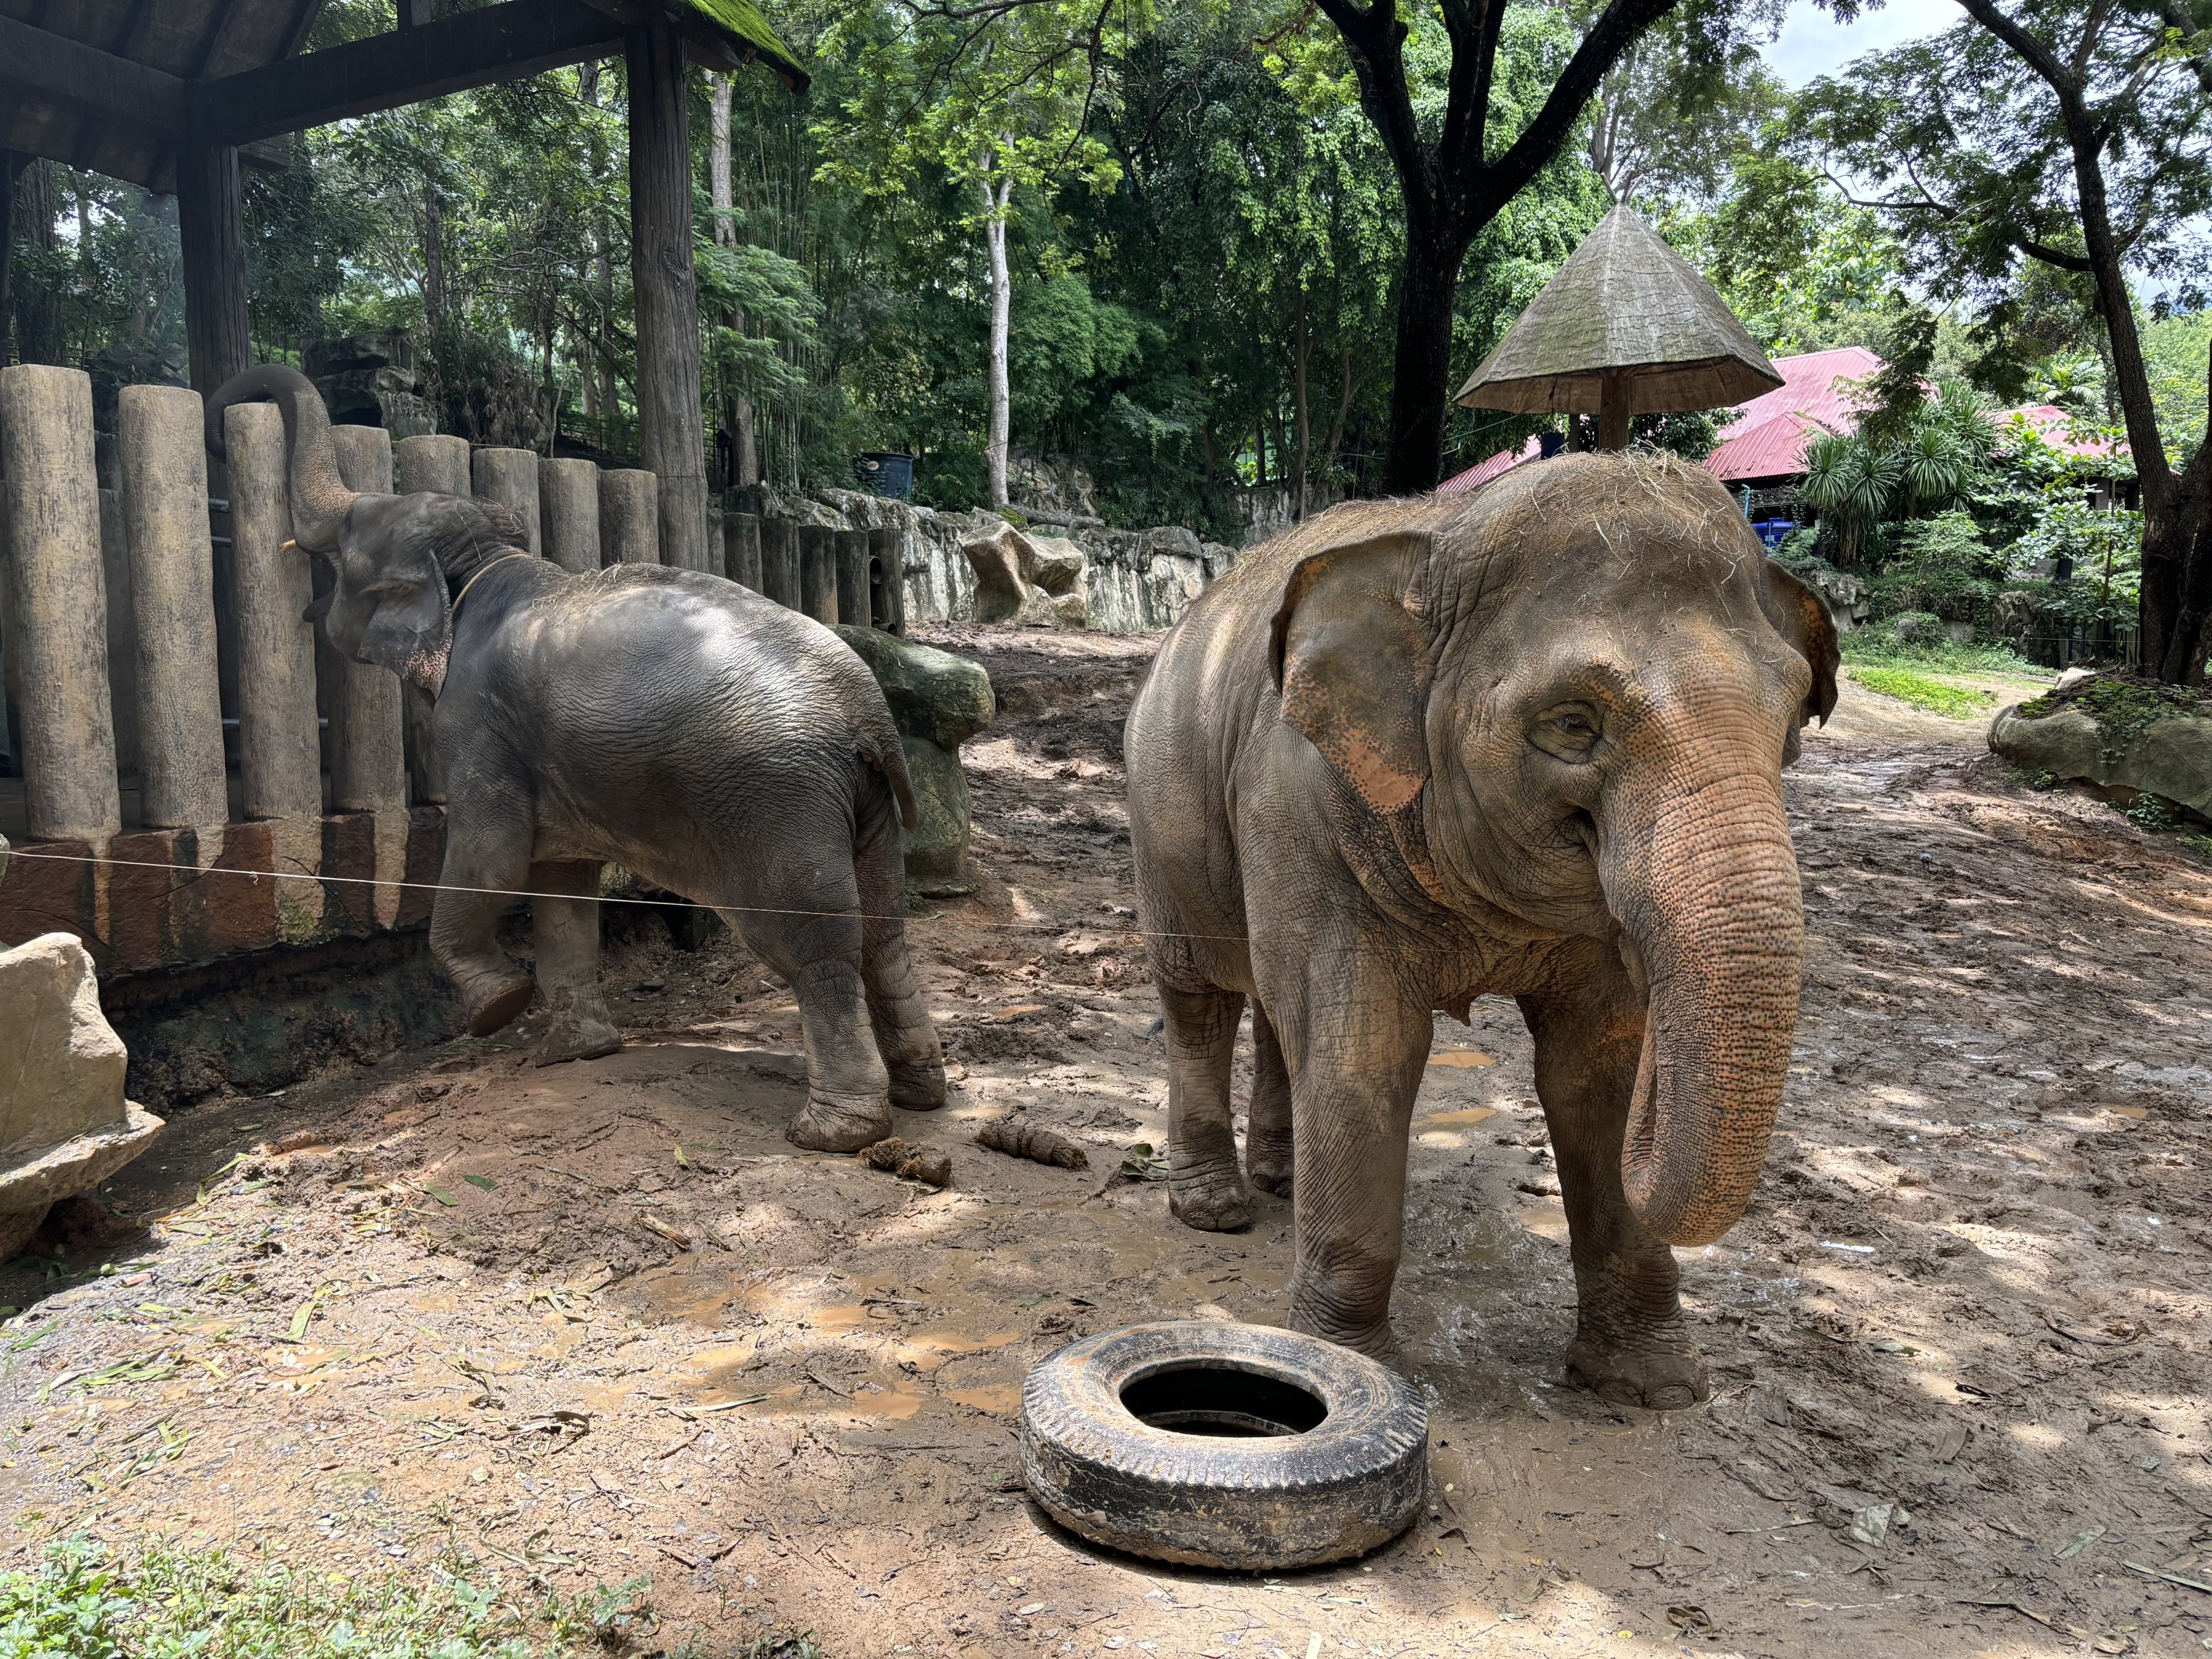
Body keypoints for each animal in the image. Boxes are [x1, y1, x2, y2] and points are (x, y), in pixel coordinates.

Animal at [206, 366, 945, 1152]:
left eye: (348, 538)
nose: (222, 422)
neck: (488, 564)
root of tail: (867, 713)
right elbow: (560, 888)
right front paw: (574, 1054)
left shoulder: (476, 726)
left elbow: (493, 859)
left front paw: (497, 1008)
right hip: (864, 801)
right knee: (884, 932)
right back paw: (922, 1094)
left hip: (778, 800)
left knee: (814, 944)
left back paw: (833, 1132)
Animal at [1123, 453, 1837, 1408]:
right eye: (1573, 724)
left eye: (1792, 720)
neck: (1448, 540)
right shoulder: (1297, 798)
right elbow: (1365, 1045)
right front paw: (1356, 1372)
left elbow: (1592, 1069)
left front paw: (1652, 1391)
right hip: (1161, 806)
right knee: (1202, 997)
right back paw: (1217, 1211)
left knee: (1275, 1012)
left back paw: (1282, 1180)